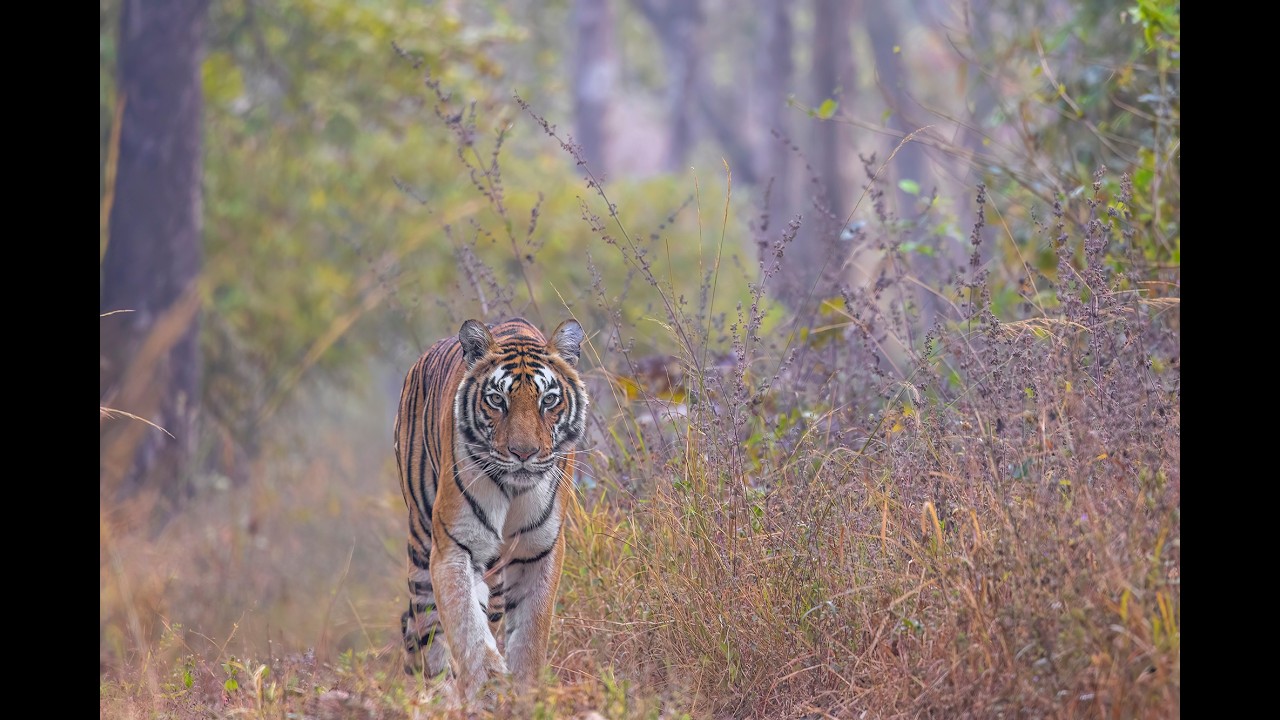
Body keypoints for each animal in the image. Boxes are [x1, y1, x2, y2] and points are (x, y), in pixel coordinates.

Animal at [392, 317, 588, 700]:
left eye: (549, 400)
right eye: (497, 400)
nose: (524, 453)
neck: (515, 491)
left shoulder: (540, 550)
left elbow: (530, 633)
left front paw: (524, 694)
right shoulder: (455, 546)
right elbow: (466, 626)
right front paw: (488, 682)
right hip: (421, 542)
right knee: (426, 628)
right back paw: (441, 694)